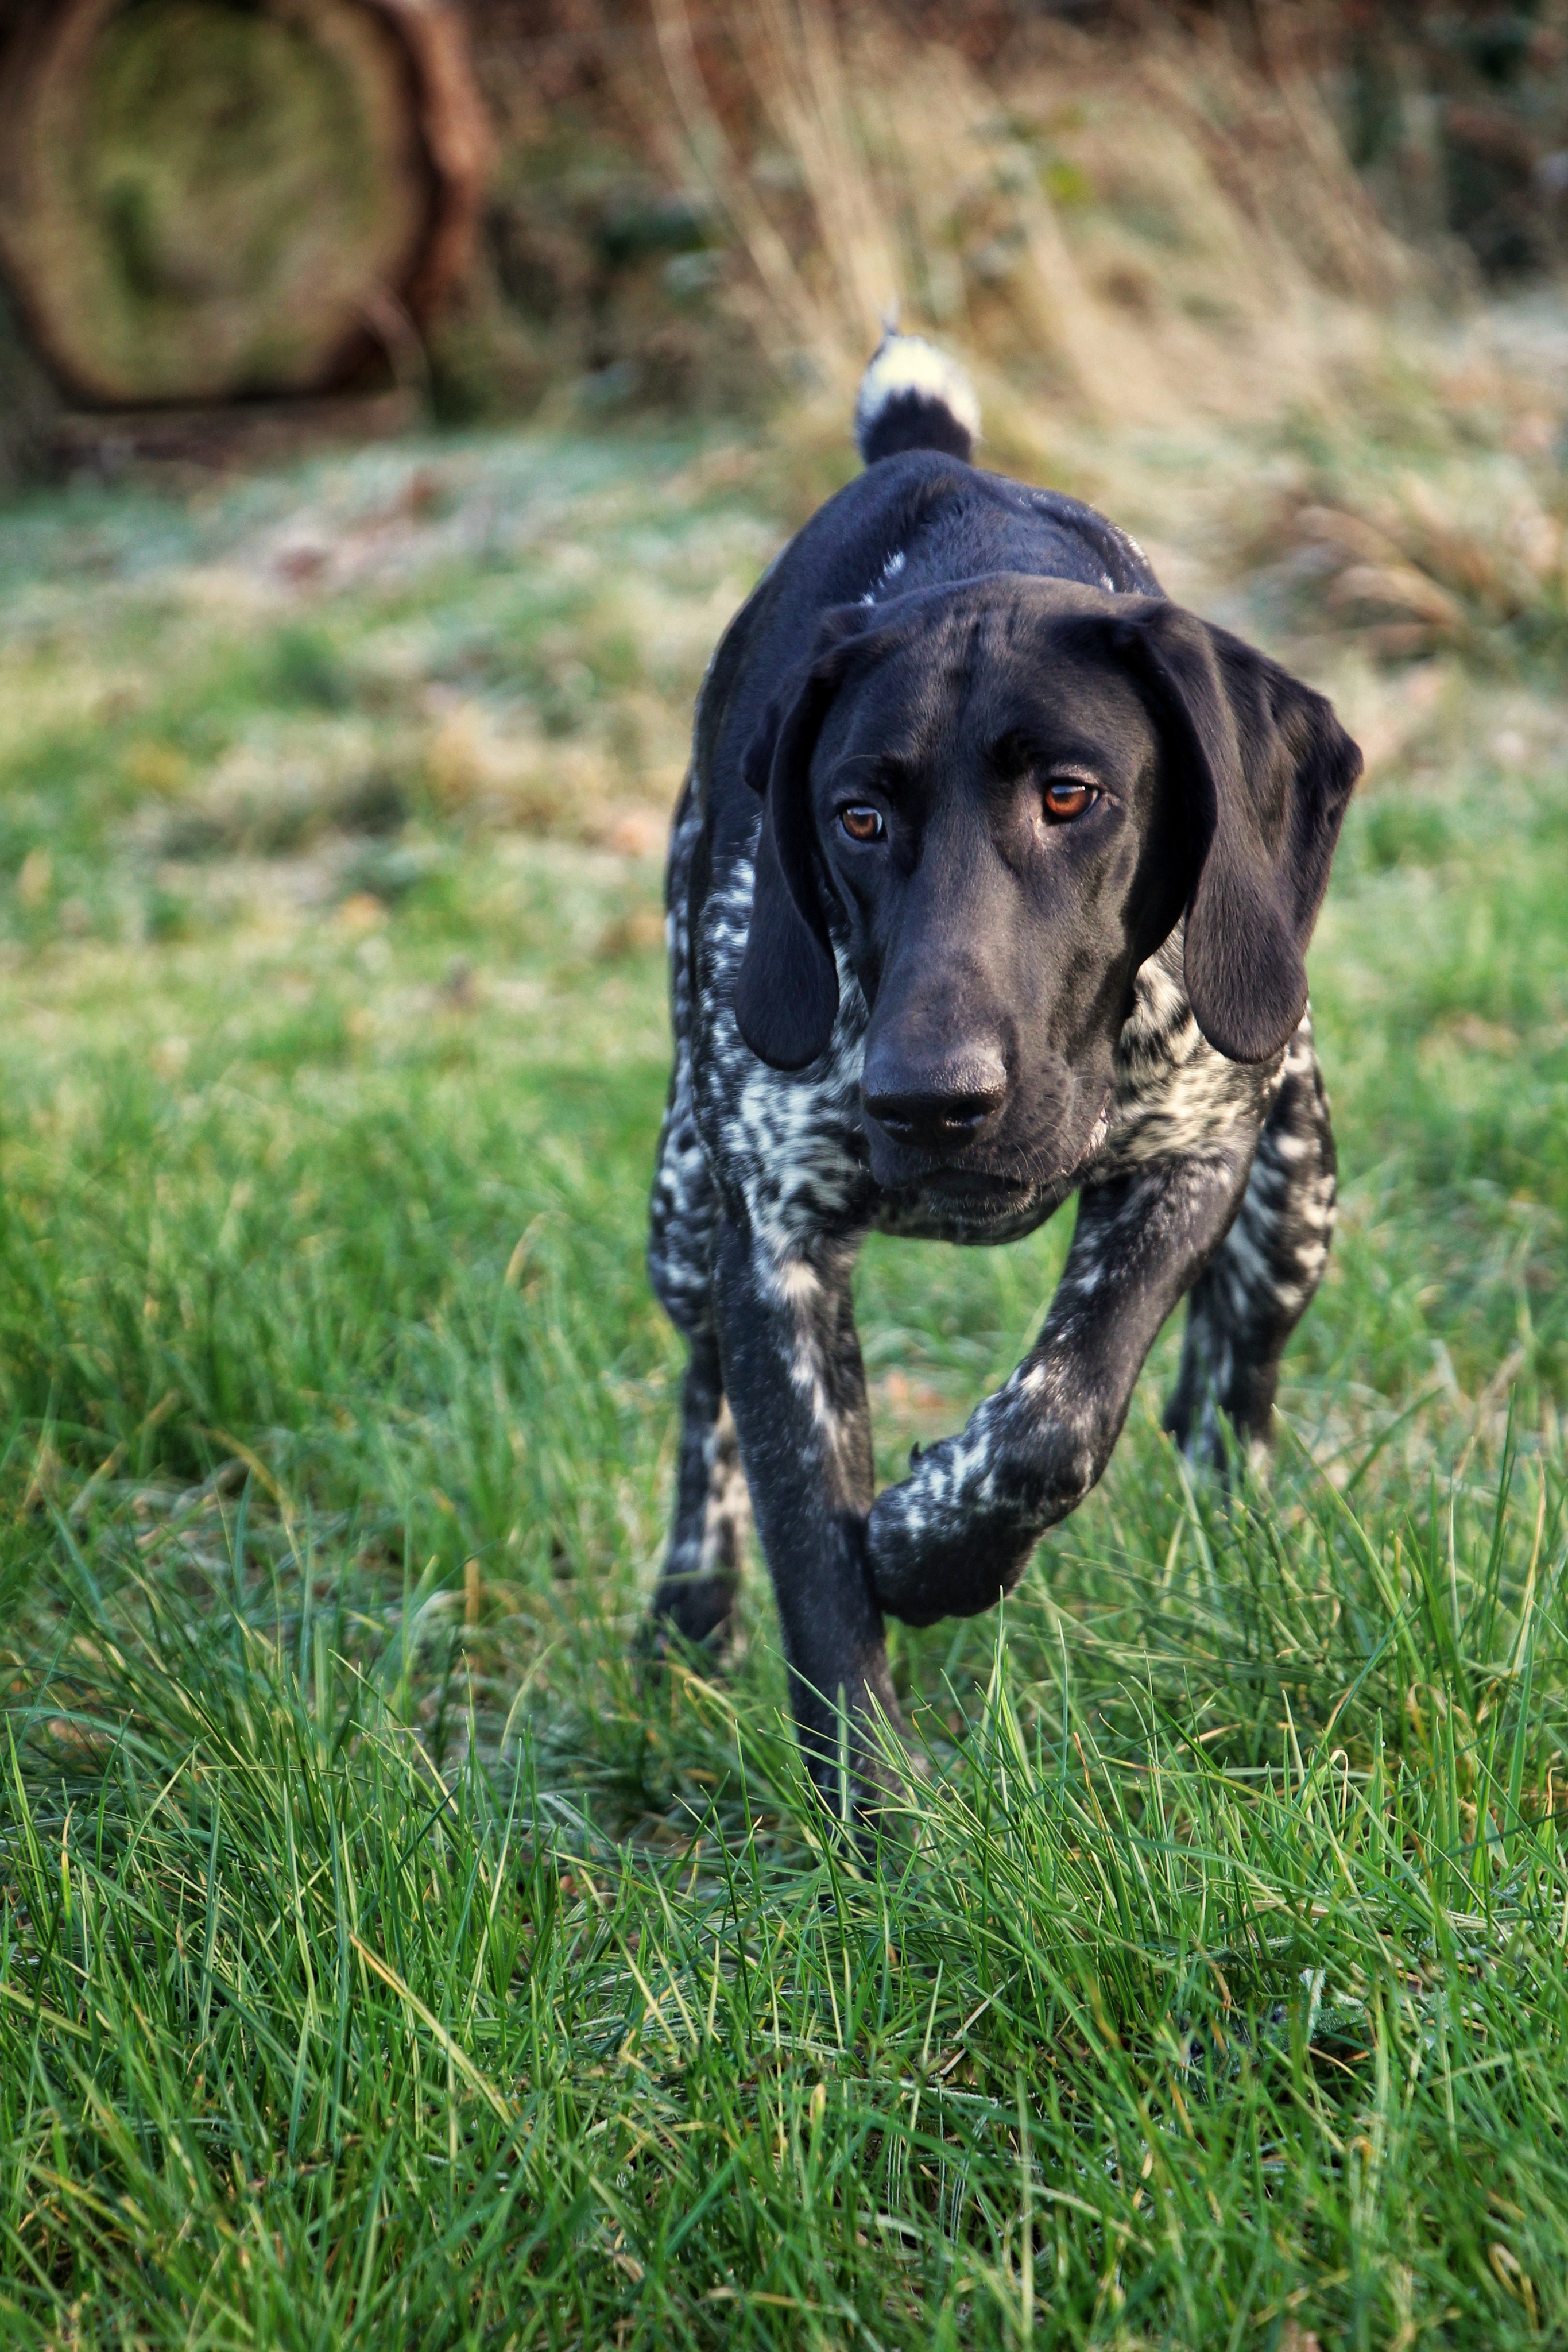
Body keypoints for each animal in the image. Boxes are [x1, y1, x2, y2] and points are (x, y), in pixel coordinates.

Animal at [645, 335, 1361, 1817]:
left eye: (1072, 796)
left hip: (1298, 1191)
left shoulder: (1194, 1149)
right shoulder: (774, 1241)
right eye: (856, 817)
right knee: (700, 1403)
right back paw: (690, 1605)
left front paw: (930, 1545)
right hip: (682, 1213)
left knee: (1232, 1393)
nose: (930, 1099)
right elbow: (817, 1563)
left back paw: (1232, 1559)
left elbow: (1057, 1416)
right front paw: (874, 1820)